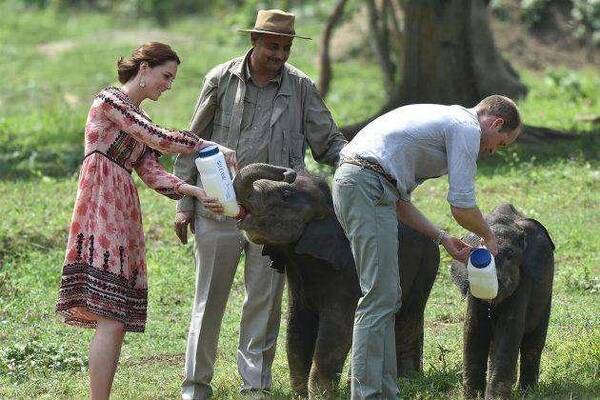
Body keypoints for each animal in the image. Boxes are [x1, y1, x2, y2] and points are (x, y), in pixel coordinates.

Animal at [232, 163, 438, 400]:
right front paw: (301, 395)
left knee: (408, 317)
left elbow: (336, 332)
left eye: (286, 195)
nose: (288, 172)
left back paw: (407, 381)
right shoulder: (297, 277)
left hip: (427, 263)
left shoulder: (347, 273)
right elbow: (297, 328)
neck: (329, 208)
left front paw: (320, 396)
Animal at [450, 205, 552, 398]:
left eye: (511, 256)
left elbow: (509, 327)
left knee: (534, 342)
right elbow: (474, 327)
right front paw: (472, 397)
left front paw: (495, 397)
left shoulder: (524, 277)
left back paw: (527, 392)